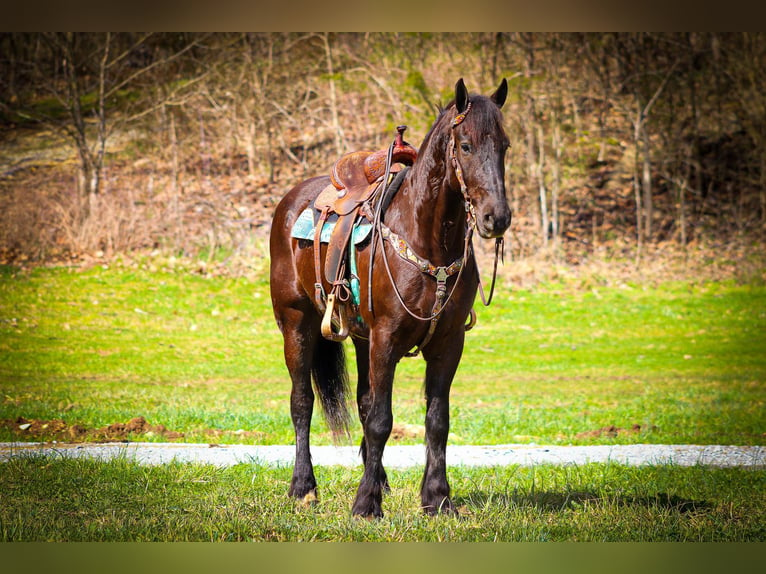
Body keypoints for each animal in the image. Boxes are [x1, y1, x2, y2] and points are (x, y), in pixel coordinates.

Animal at [270, 77, 510, 520]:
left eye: (504, 145)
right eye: (466, 145)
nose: (496, 218)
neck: (427, 241)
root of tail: (292, 200)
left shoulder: (448, 344)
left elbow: (436, 420)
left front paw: (437, 498)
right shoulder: (386, 339)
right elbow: (382, 419)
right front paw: (366, 504)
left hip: (360, 337)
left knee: (362, 402)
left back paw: (377, 478)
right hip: (296, 324)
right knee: (302, 401)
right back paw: (304, 486)